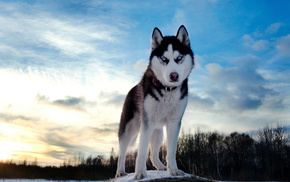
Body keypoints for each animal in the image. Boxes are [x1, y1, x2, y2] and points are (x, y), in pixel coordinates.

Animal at [116, 25, 195, 179]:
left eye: (179, 58)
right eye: (164, 58)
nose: (174, 75)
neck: (167, 90)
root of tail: (131, 89)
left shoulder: (174, 122)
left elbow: (171, 150)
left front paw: (174, 170)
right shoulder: (147, 123)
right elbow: (141, 151)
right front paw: (140, 173)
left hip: (158, 132)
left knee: (153, 154)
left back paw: (160, 166)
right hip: (129, 129)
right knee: (122, 151)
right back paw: (120, 171)